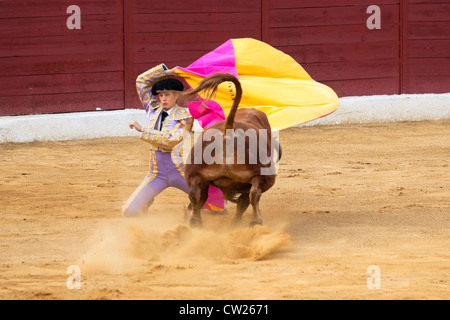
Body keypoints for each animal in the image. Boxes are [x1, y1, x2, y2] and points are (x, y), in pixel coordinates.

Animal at [180, 73, 280, 226]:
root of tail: (228, 130)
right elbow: (244, 203)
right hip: (264, 176)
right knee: (254, 194)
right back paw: (256, 221)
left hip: (194, 171)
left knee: (195, 195)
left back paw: (195, 221)